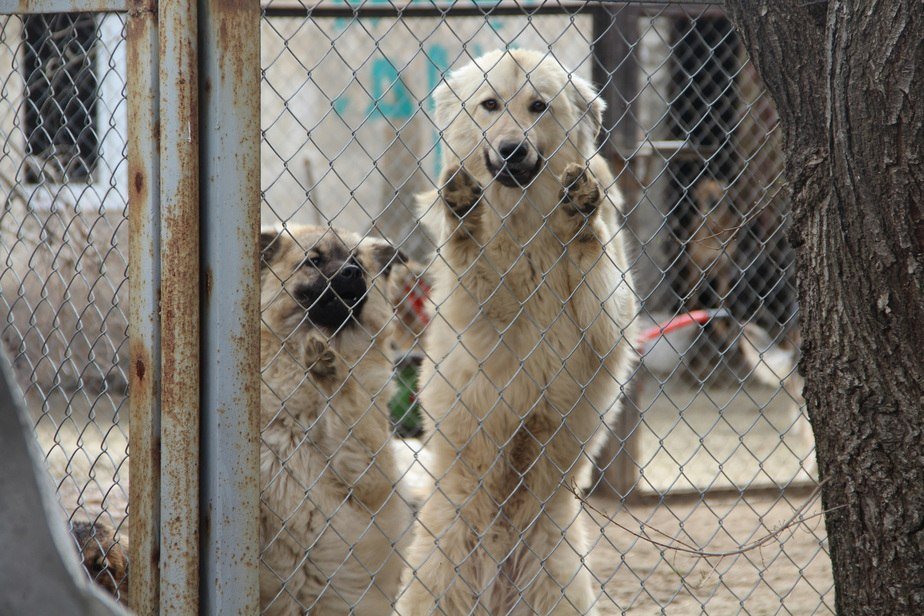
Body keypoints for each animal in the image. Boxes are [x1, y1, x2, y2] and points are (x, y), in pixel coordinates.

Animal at [262, 226, 414, 616]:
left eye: (357, 260)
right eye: (313, 260)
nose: (351, 273)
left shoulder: (371, 479)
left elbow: (349, 402)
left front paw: (329, 370)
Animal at [400, 49, 640, 616]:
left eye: (538, 105)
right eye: (490, 104)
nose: (512, 150)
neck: (526, 226)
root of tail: (498, 574)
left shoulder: (609, 324)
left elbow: (597, 267)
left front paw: (581, 210)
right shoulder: (479, 311)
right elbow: (473, 259)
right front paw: (463, 209)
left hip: (560, 576)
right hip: (439, 571)